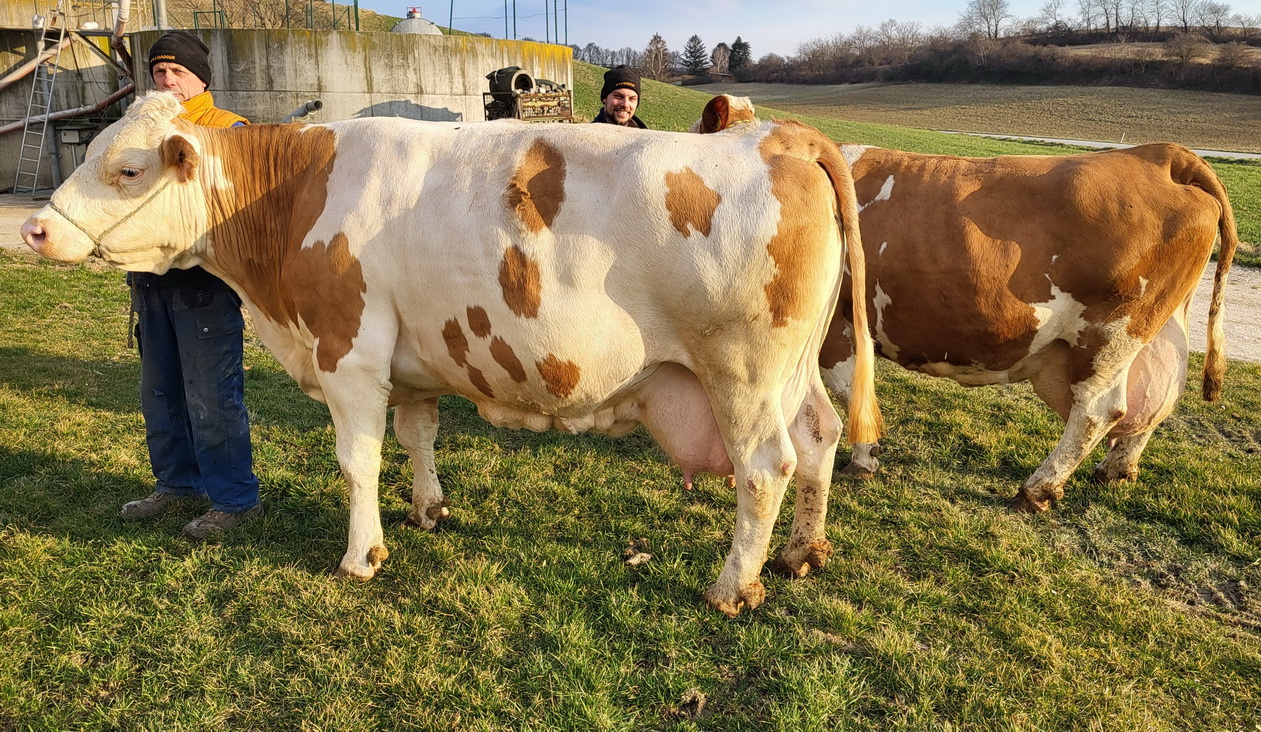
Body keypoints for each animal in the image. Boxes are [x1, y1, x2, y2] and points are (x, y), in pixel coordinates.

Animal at [22, 92, 887, 618]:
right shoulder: (410, 363)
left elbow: (357, 460)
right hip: (794, 371)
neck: (290, 197)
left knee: (766, 466)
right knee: (817, 437)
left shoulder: (349, 355)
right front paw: (427, 509)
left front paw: (361, 555)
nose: (33, 228)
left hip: (741, 372)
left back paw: (732, 585)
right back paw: (801, 553)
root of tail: (775, 135)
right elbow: (416, 437)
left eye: (126, 168)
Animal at [696, 94, 1235, 512]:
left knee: (1098, 411)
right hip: (1160, 325)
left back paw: (1037, 490)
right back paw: (1117, 470)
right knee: (1160, 397)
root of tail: (1159, 155)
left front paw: (864, 458)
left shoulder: (836, 329)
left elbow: (849, 392)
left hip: (1110, 333)